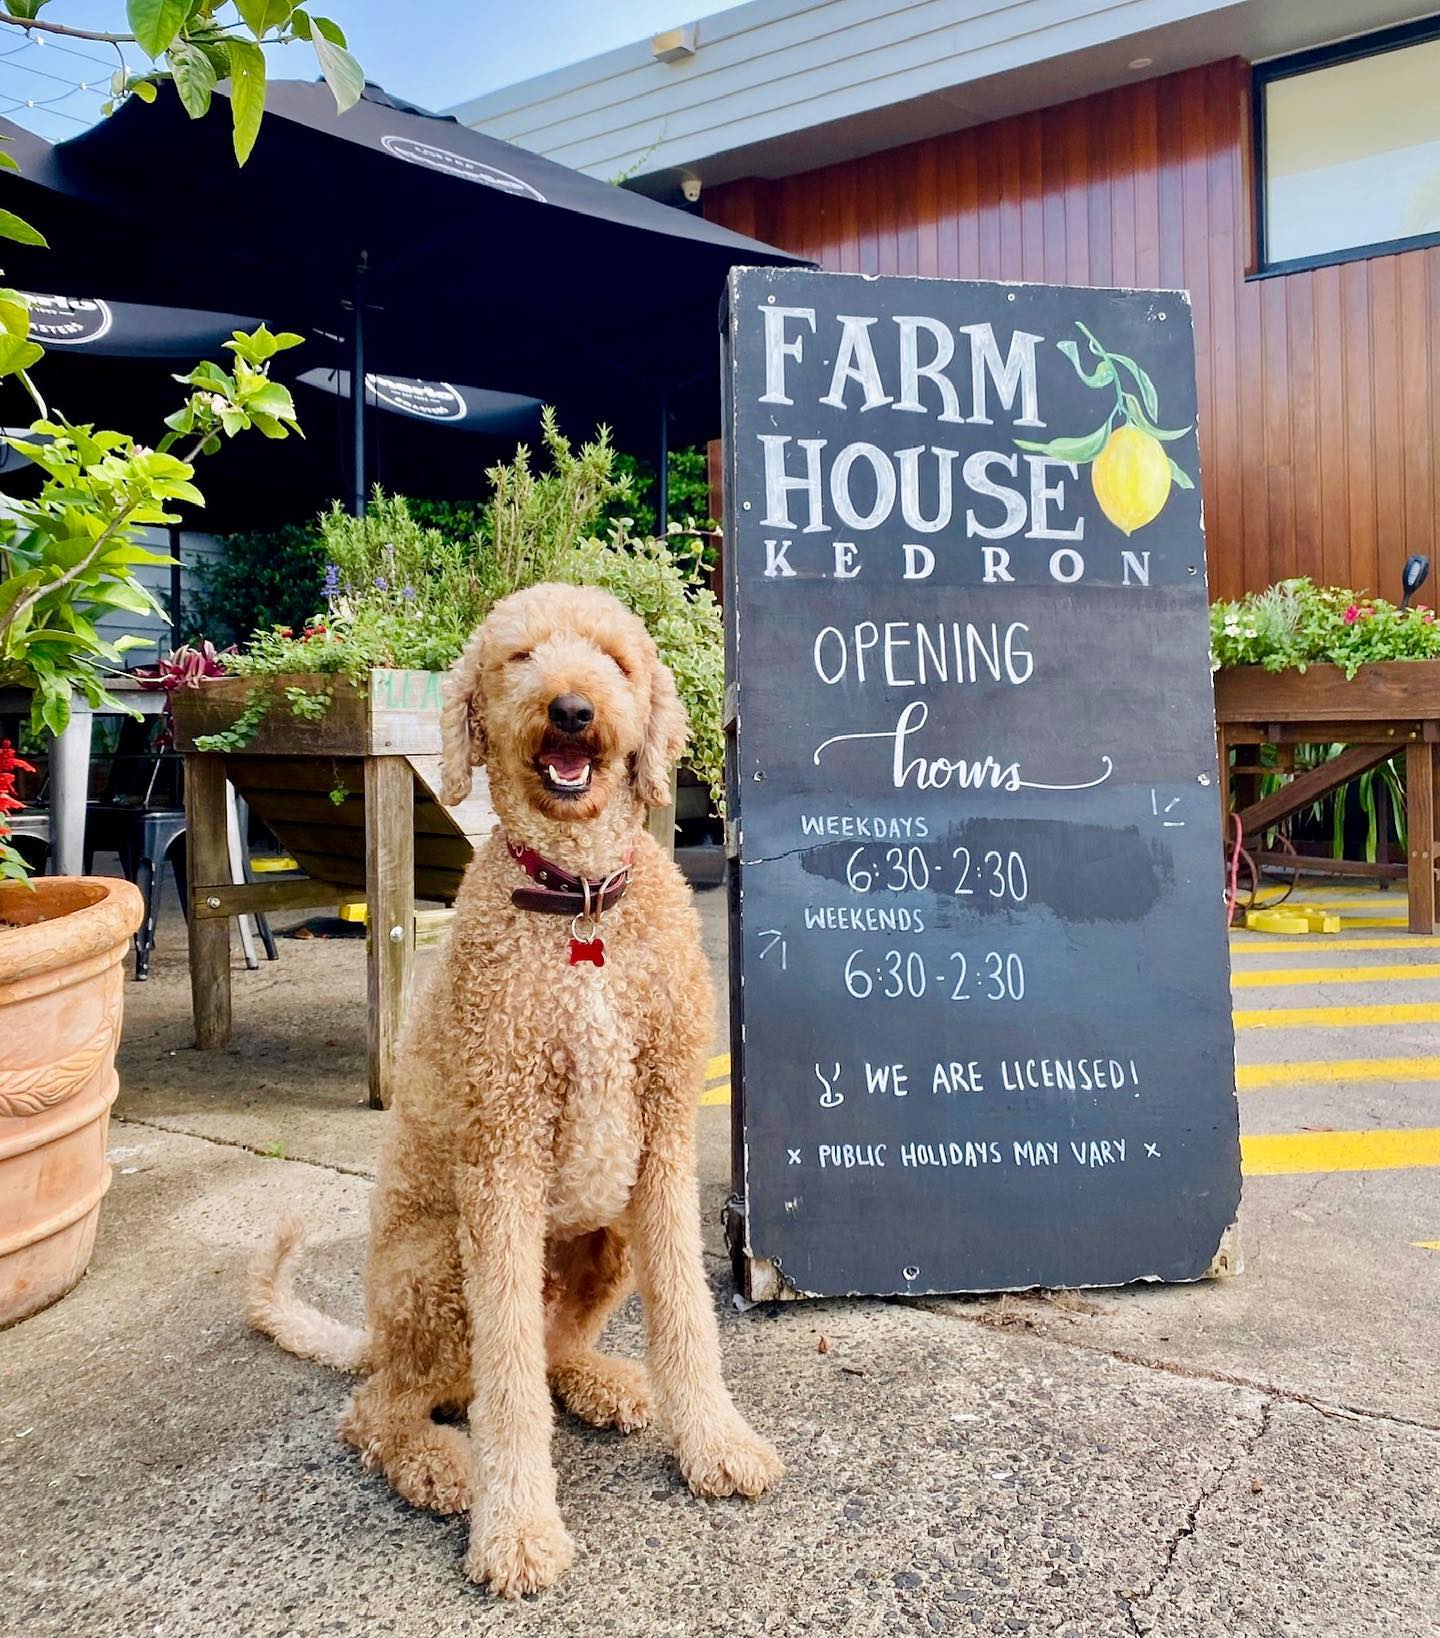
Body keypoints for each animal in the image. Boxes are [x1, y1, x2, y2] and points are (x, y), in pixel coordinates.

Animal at [250, 583, 789, 1592]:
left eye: (615, 660)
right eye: (520, 657)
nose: (571, 708)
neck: (578, 902)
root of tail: (374, 1333)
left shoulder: (662, 1140)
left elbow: (687, 1318)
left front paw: (715, 1441)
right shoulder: (501, 1158)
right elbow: (505, 1383)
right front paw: (518, 1528)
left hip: (604, 1238)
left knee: (548, 1351)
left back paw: (599, 1381)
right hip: (434, 1273)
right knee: (383, 1407)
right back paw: (441, 1466)